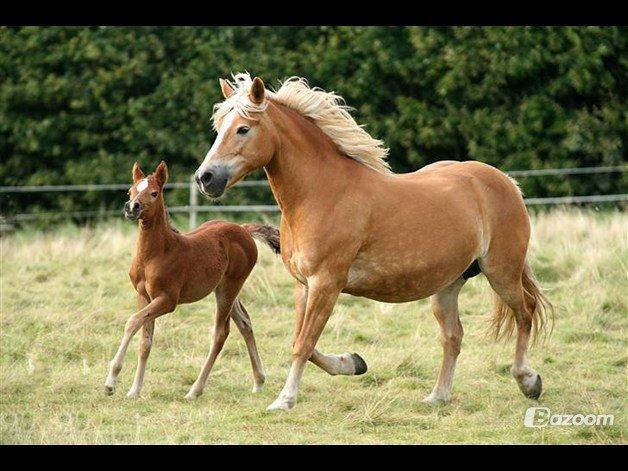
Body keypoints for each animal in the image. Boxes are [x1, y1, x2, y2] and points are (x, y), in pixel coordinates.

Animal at [104, 161, 278, 398]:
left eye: (154, 193)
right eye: (130, 191)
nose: (132, 207)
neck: (156, 254)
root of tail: (243, 230)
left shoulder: (168, 300)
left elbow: (132, 322)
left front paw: (111, 381)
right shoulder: (143, 296)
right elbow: (145, 341)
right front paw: (134, 391)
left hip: (229, 288)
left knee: (220, 333)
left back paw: (195, 390)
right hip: (224, 288)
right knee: (245, 323)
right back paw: (259, 381)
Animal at [194, 72, 552, 412]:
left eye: (243, 129)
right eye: (219, 127)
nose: (205, 178)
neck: (321, 193)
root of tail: (505, 181)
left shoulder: (326, 283)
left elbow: (304, 343)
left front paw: (284, 400)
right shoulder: (304, 285)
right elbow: (302, 342)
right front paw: (352, 362)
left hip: (501, 272)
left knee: (525, 312)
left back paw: (528, 381)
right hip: (448, 285)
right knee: (453, 336)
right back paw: (438, 396)